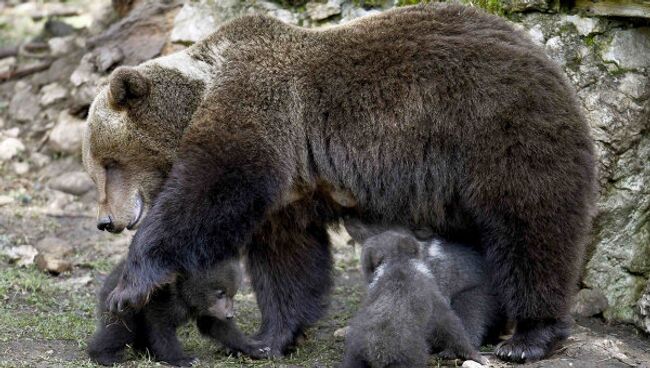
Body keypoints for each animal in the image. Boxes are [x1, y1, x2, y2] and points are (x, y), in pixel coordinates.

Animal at [83, 2, 596, 362]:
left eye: (109, 162)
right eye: (94, 170)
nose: (107, 221)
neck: (202, 91)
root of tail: (543, 55)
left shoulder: (260, 109)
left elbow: (209, 192)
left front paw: (129, 285)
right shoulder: (292, 187)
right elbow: (288, 259)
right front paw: (270, 337)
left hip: (498, 130)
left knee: (532, 227)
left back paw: (529, 335)